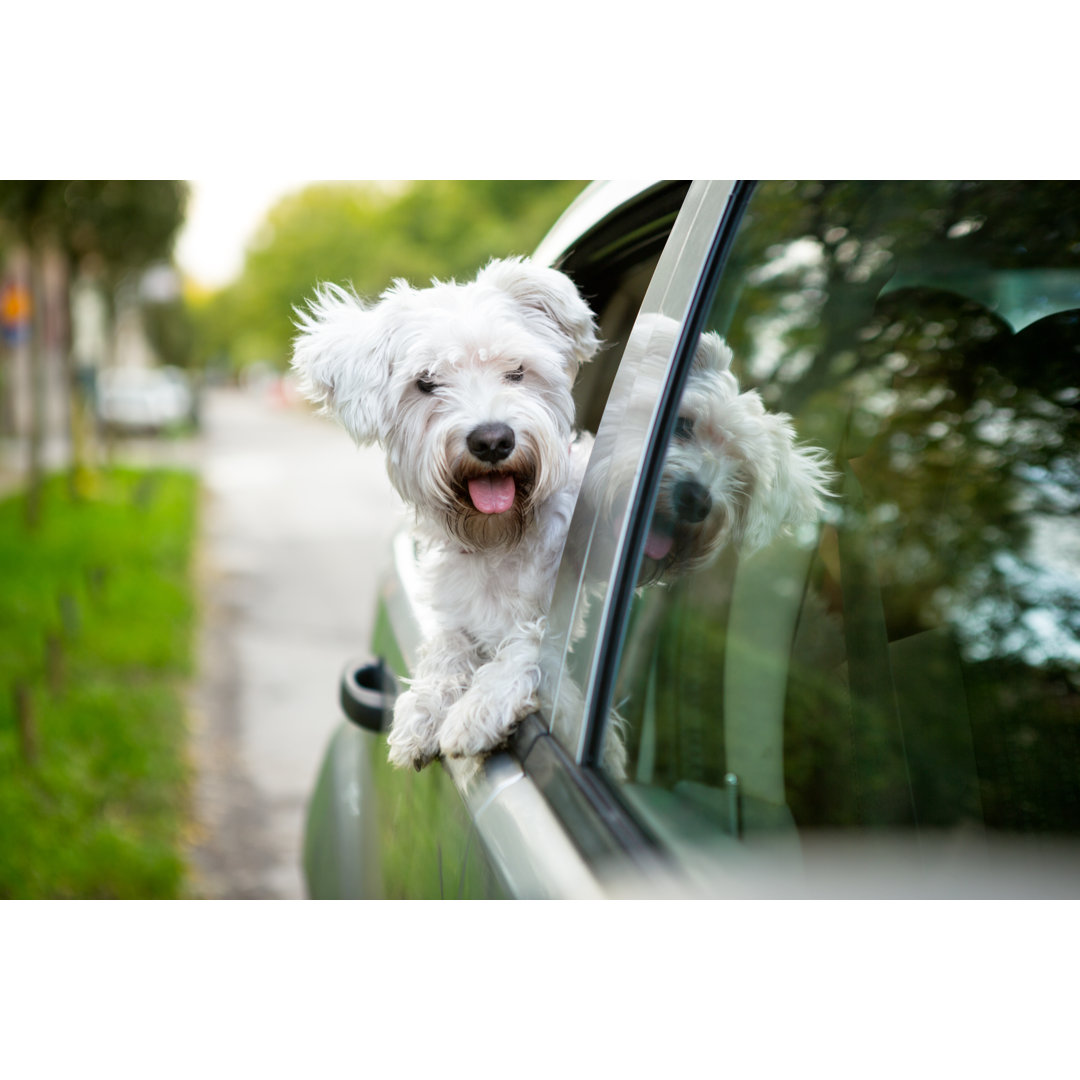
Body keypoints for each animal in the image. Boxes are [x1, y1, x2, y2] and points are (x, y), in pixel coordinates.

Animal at [291, 259, 600, 768]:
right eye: (427, 382)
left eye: (516, 371)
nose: (492, 440)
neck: (499, 539)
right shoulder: (456, 616)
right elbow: (446, 648)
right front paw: (422, 708)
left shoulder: (565, 623)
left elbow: (532, 641)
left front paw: (480, 707)